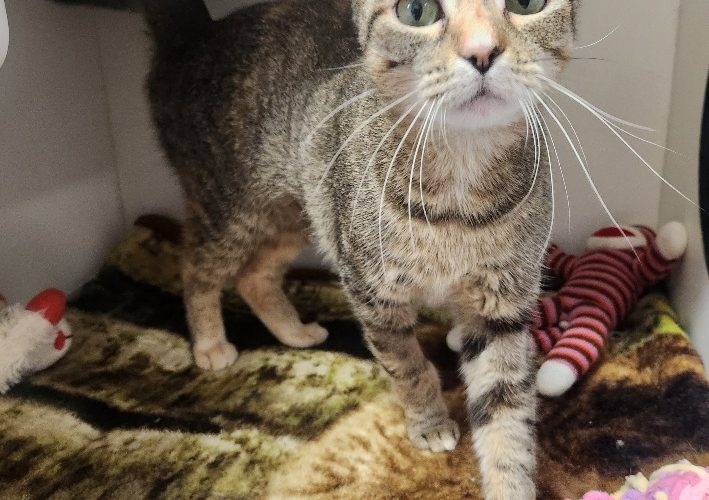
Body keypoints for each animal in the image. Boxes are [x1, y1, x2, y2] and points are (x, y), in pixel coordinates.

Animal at [55, 0, 577, 497]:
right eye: (417, 12)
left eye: (527, 4)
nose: (482, 52)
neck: (460, 190)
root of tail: (195, 35)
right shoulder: (372, 292)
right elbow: (408, 368)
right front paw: (428, 422)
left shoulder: (500, 307)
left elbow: (506, 420)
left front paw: (510, 483)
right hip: (229, 208)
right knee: (198, 269)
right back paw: (210, 343)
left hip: (297, 210)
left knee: (254, 276)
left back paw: (294, 332)